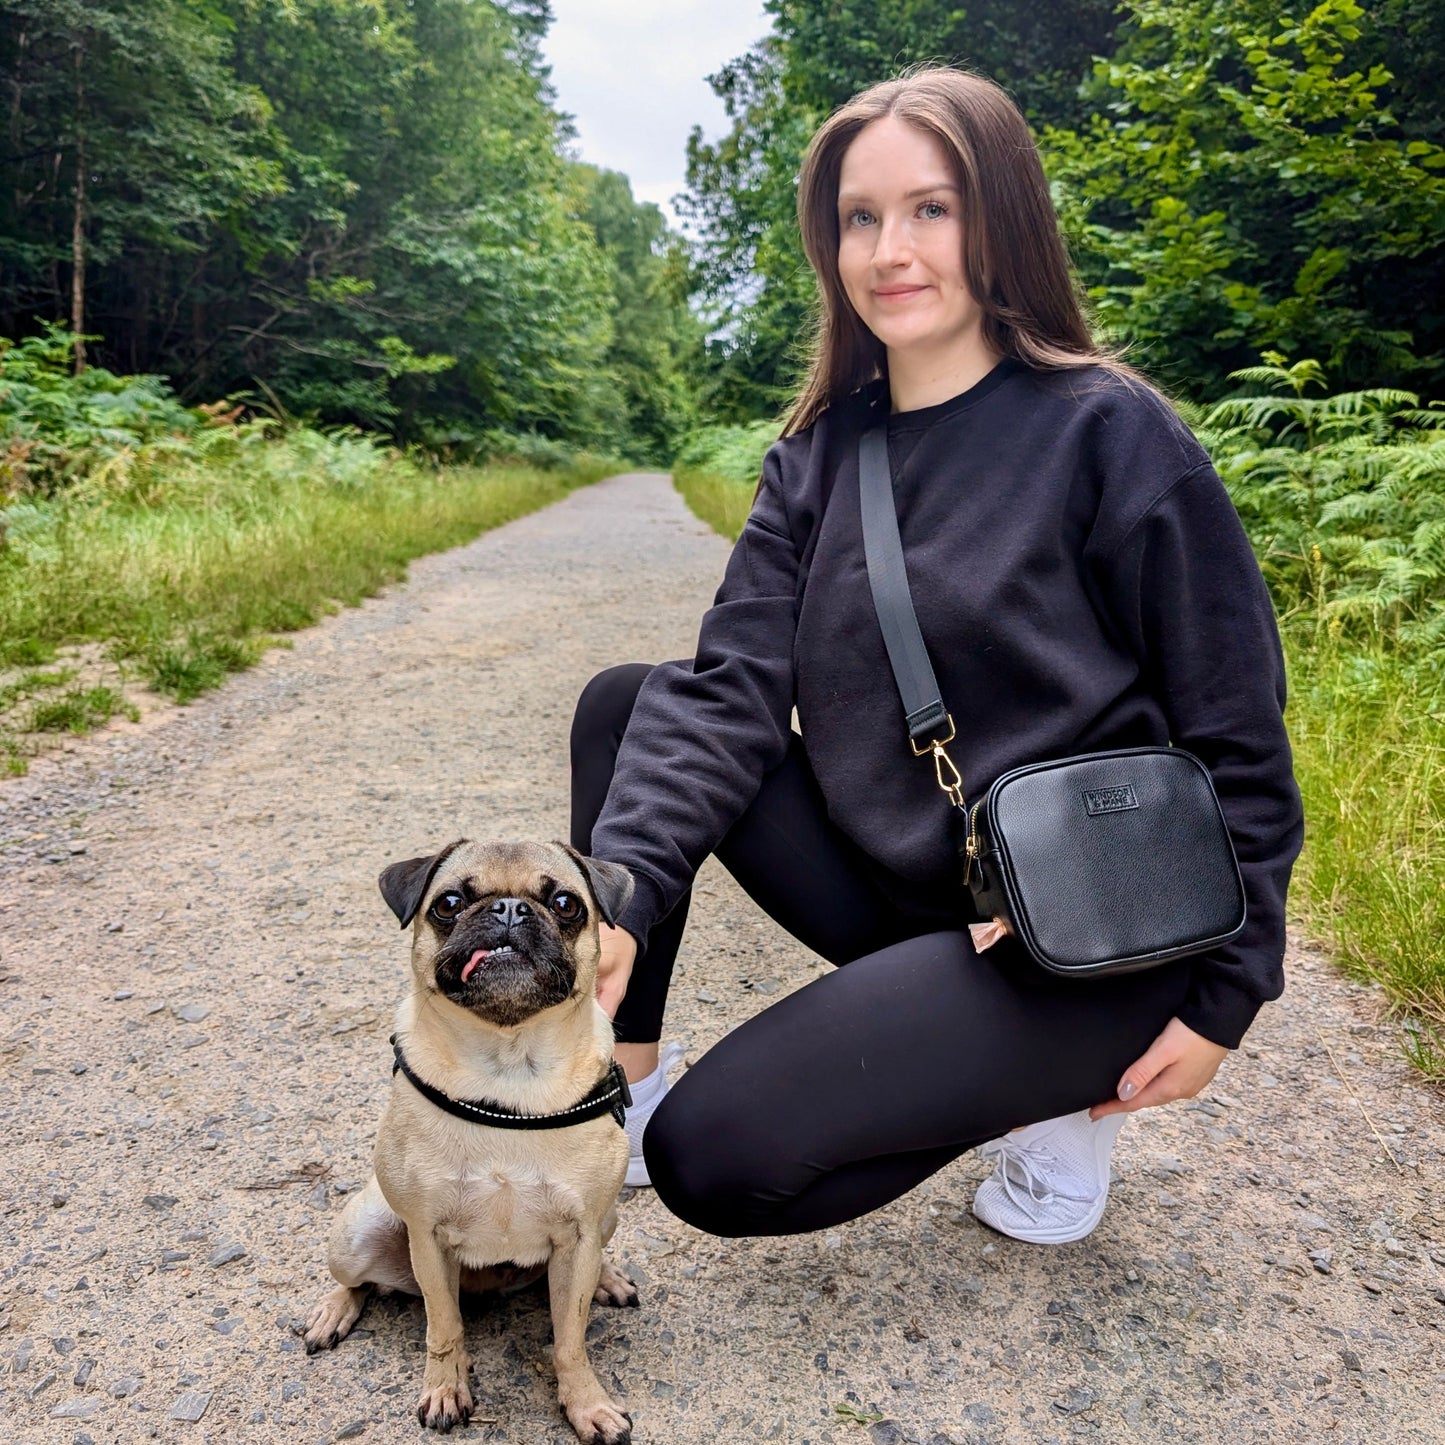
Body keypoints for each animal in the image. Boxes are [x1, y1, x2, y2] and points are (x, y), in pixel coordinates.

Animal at [303, 843, 638, 1439]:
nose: (509, 908)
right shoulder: (430, 1240)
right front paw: (445, 1389)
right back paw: (333, 1311)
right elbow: (444, 1329)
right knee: (359, 1282)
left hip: (605, 1222)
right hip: (356, 1235)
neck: (508, 1069)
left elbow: (571, 1341)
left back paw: (608, 1278)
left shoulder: (579, 1236)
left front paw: (587, 1405)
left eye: (566, 904)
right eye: (450, 903)